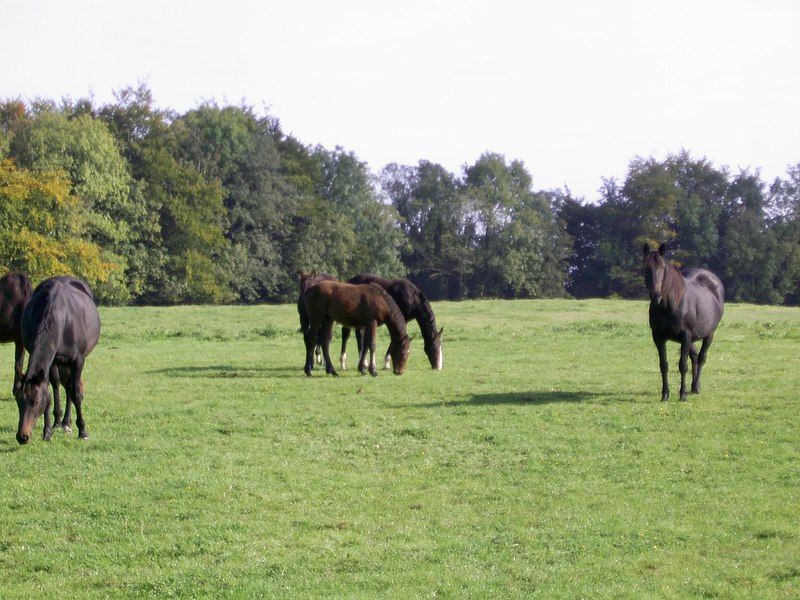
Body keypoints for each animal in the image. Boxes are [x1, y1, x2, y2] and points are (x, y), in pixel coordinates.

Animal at [644, 244, 724, 404]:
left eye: (662, 267)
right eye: (646, 267)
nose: (655, 295)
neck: (670, 305)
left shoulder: (685, 336)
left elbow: (683, 365)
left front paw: (682, 395)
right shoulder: (658, 337)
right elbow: (664, 365)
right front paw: (665, 395)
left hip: (709, 334)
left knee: (701, 358)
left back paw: (696, 388)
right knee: (694, 357)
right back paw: (692, 387)